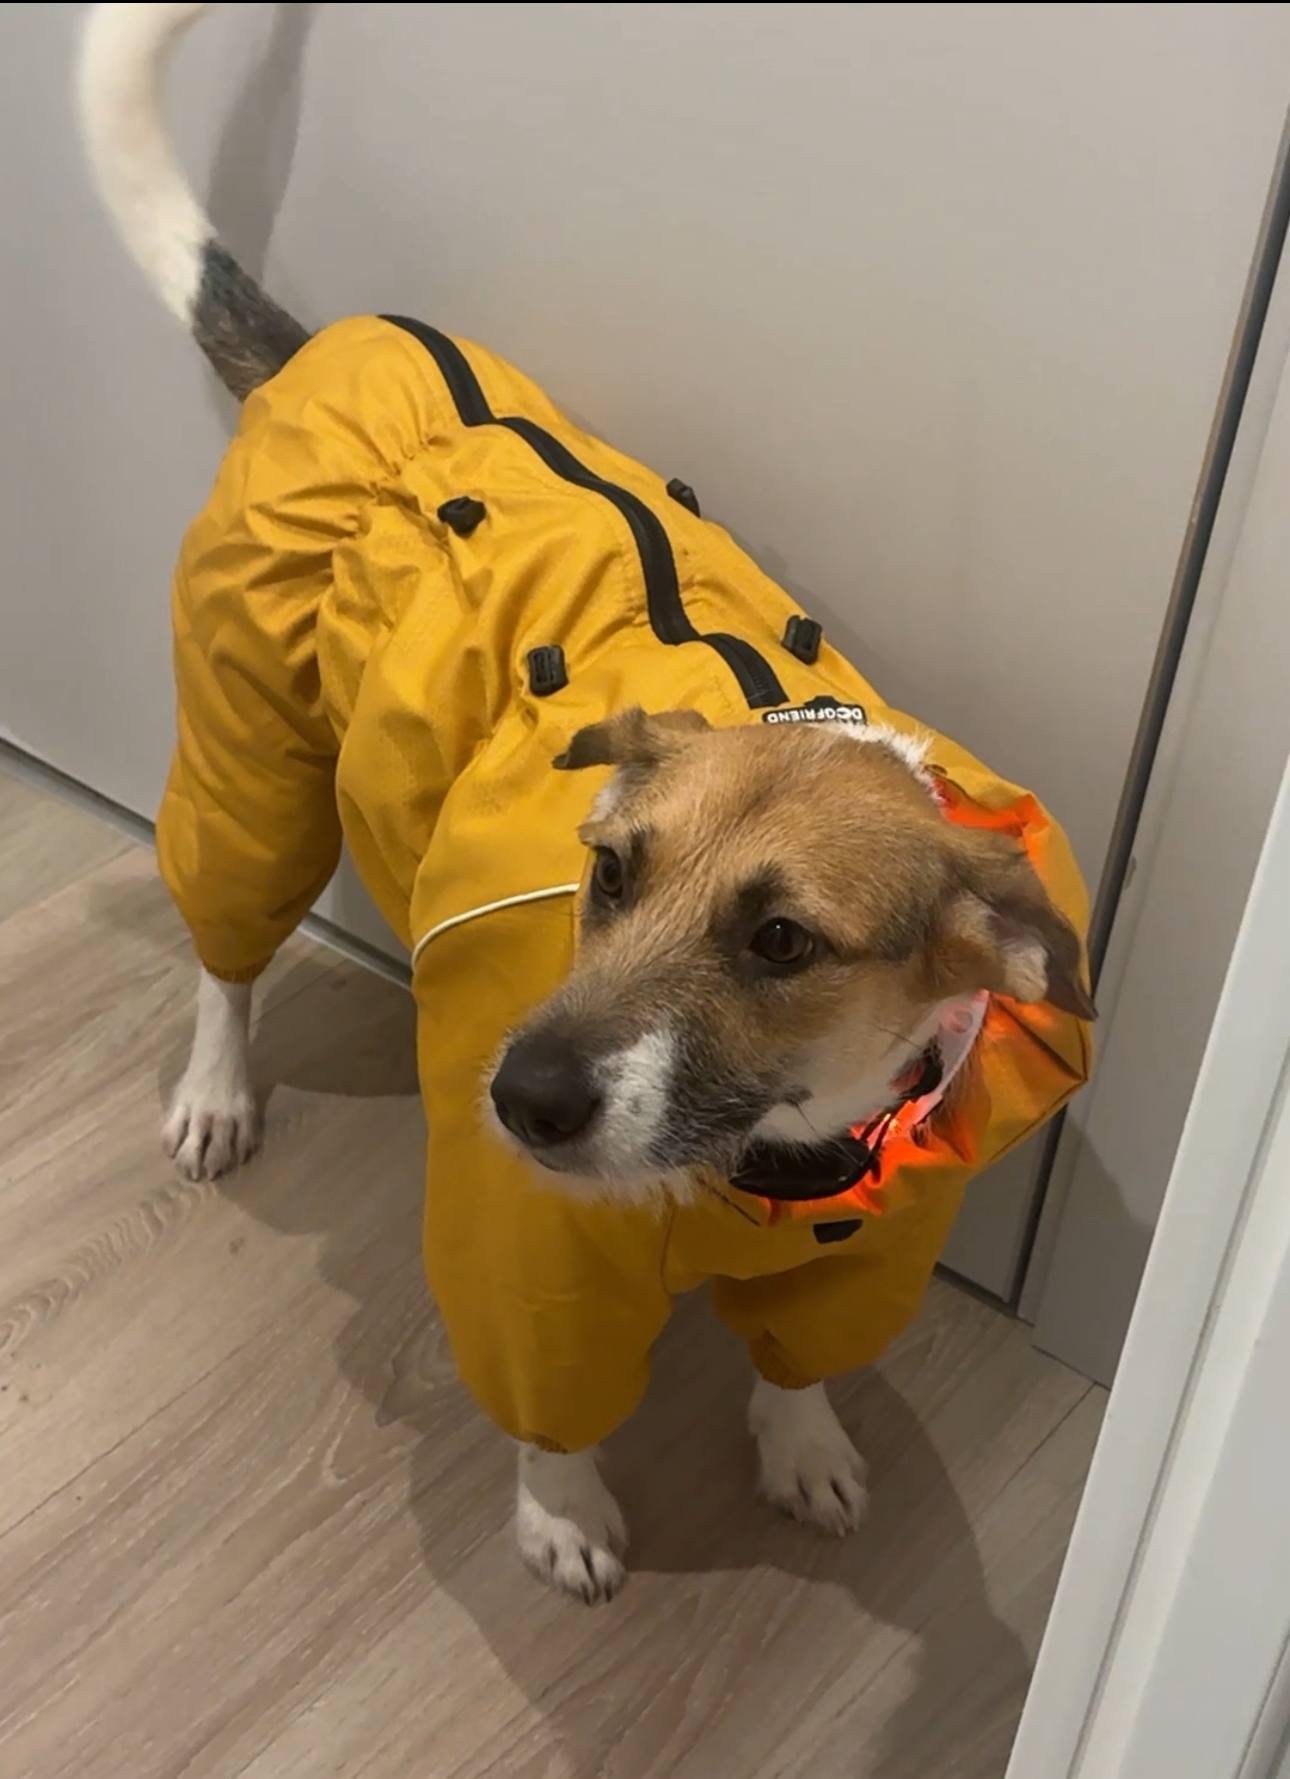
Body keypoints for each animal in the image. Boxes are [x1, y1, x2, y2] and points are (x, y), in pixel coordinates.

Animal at [79, 2, 1093, 1603]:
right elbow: (550, 1398)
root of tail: (319, 357)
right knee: (224, 947)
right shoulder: (534, 1252)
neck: (776, 1154)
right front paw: (562, 1511)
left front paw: (802, 1443)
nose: (517, 1096)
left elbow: (807, 1359)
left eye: (782, 941)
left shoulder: (869, 1249)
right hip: (253, 753)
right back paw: (216, 1089)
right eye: (607, 869)